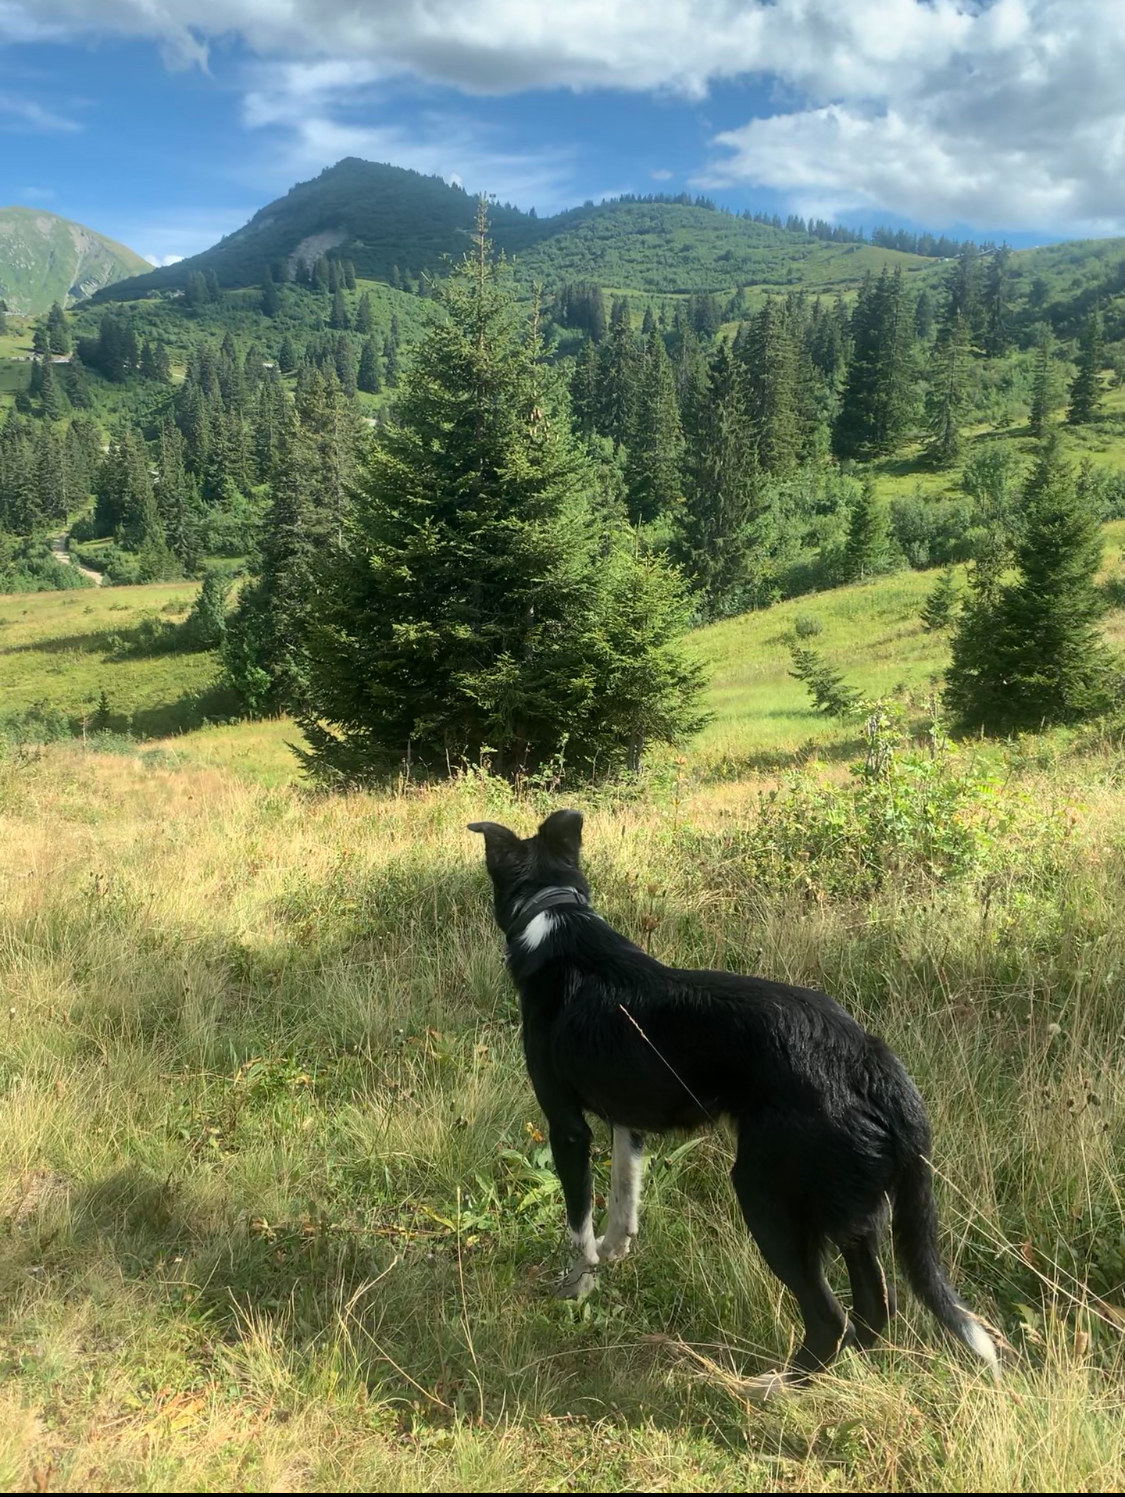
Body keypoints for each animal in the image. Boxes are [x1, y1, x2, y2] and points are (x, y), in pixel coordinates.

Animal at [469, 808, 999, 1389]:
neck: (553, 910)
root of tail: (869, 1059)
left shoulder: (567, 1126)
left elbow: (578, 1222)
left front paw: (579, 1284)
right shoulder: (627, 1121)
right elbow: (624, 1197)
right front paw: (614, 1250)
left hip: (767, 1196)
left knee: (830, 1318)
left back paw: (774, 1388)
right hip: (854, 1213)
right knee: (874, 1310)